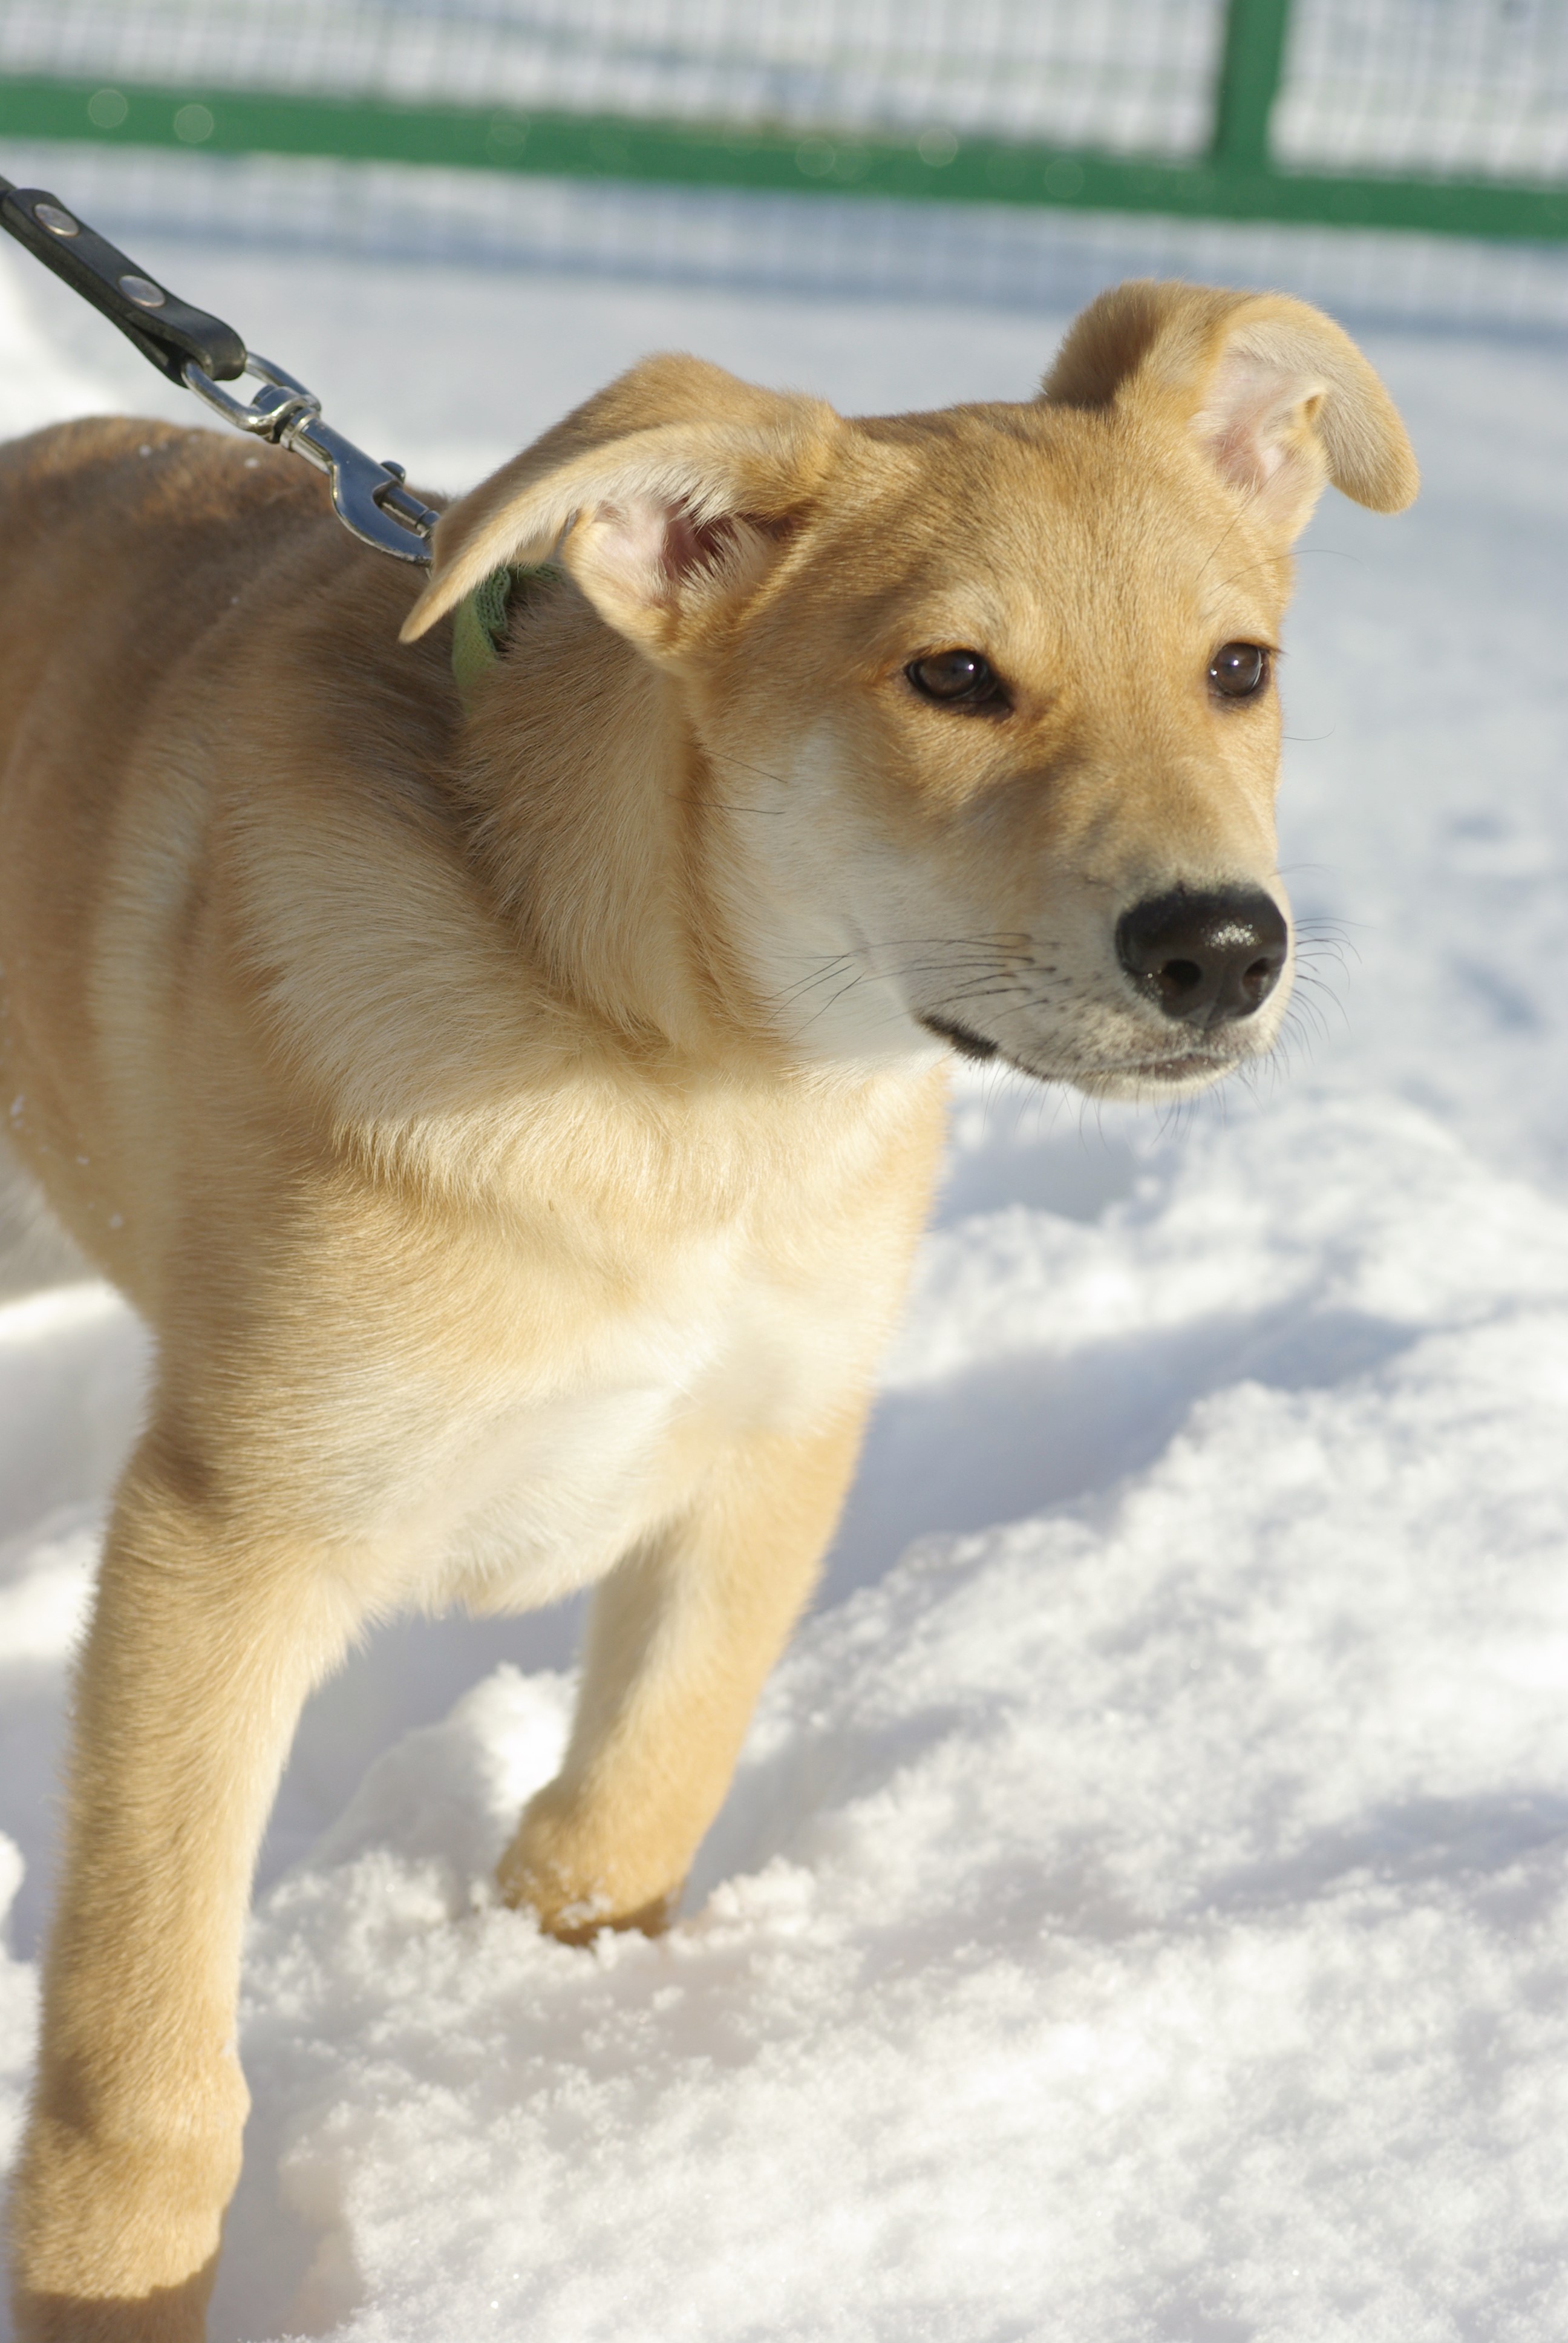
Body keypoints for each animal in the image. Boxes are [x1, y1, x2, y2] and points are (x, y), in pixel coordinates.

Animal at [0, 278, 1415, 2339]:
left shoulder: (770, 1447)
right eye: (953, 678)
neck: (686, 1093)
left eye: (1241, 666)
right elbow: (146, 2069)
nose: (1223, 947)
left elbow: (643, 1794)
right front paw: (123, 2281)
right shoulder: (227, 1539)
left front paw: (552, 2018)